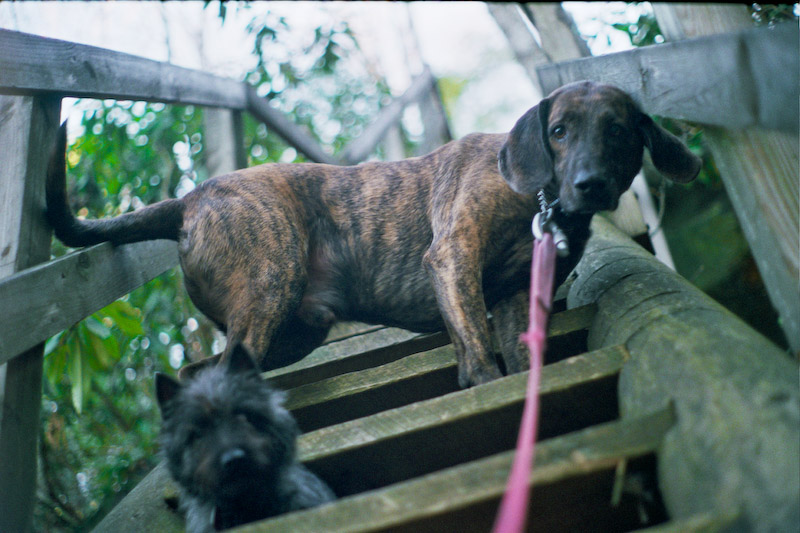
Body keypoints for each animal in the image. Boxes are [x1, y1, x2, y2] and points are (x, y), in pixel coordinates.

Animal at [47, 80, 696, 386]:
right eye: (559, 130)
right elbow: (479, 350)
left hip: (293, 330)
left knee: (196, 374)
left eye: (619, 131)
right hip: (270, 286)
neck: (535, 200)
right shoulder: (454, 256)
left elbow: (510, 353)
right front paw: (487, 387)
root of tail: (187, 200)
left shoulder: (515, 295)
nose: (591, 184)